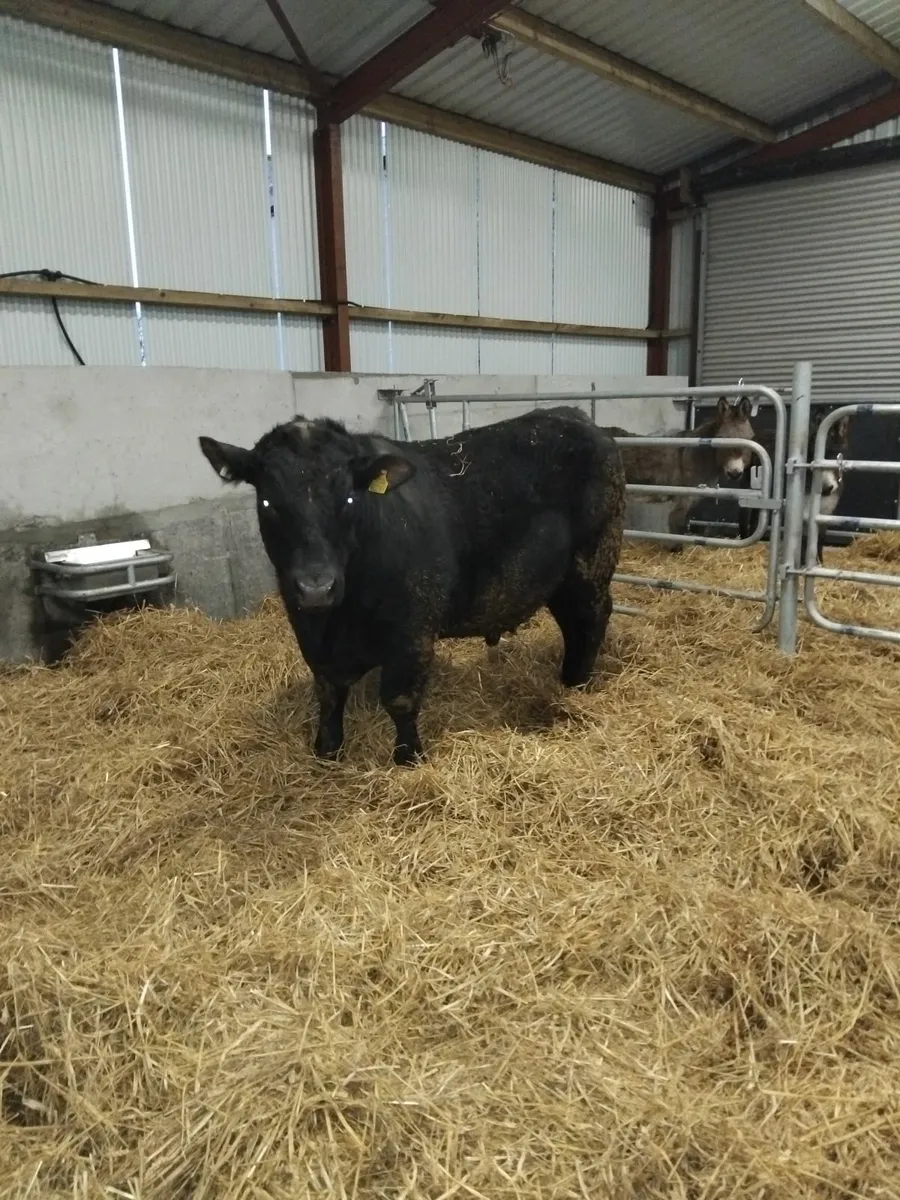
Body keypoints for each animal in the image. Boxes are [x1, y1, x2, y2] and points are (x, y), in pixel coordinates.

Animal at [199, 406, 626, 767]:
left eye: (349, 497)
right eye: (268, 502)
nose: (316, 586)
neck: (340, 619)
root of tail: (576, 417)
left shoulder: (413, 632)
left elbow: (400, 699)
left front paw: (409, 757)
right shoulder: (309, 632)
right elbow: (328, 692)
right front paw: (327, 750)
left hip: (591, 564)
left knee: (592, 618)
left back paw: (577, 684)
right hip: (561, 580)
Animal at [606, 396, 755, 550]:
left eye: (749, 440)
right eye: (721, 439)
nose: (735, 473)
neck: (698, 454)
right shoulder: (683, 497)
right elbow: (677, 526)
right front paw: (676, 550)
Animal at [737, 406, 851, 563]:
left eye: (836, 455)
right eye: (810, 457)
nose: (827, 489)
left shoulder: (824, 512)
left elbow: (820, 540)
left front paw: (819, 562)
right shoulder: (801, 511)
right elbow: (802, 539)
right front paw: (802, 563)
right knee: (744, 513)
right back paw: (745, 540)